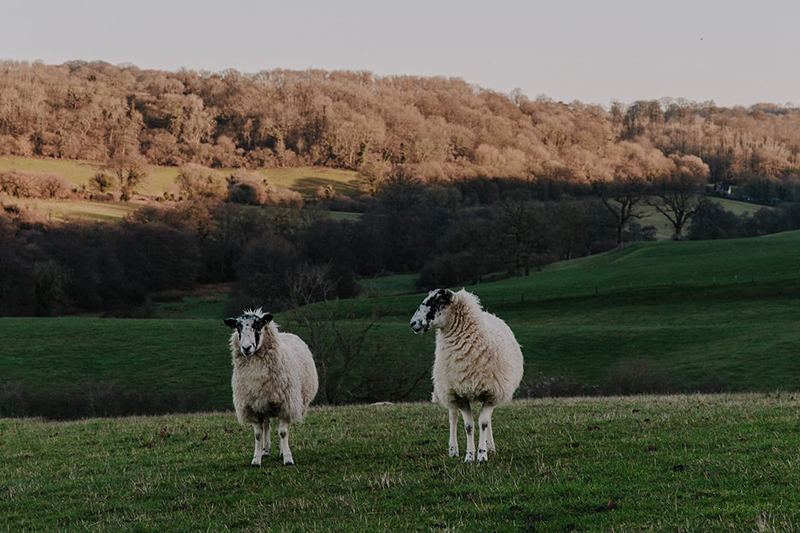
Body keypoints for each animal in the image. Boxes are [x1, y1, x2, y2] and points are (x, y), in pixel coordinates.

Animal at [223, 308, 318, 466]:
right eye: (238, 327)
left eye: (258, 325)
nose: (246, 348)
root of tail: (286, 333)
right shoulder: (252, 407)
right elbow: (258, 434)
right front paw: (256, 460)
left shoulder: (286, 404)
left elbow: (283, 433)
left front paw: (287, 458)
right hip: (263, 403)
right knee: (267, 425)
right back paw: (266, 450)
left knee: (282, 428)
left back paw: (280, 450)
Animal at [412, 286, 524, 462]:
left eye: (439, 301)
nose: (413, 323)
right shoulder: (459, 394)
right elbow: (468, 426)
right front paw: (469, 456)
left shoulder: (490, 393)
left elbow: (483, 423)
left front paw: (483, 454)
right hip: (448, 390)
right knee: (452, 417)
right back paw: (453, 450)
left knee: (487, 420)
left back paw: (490, 447)